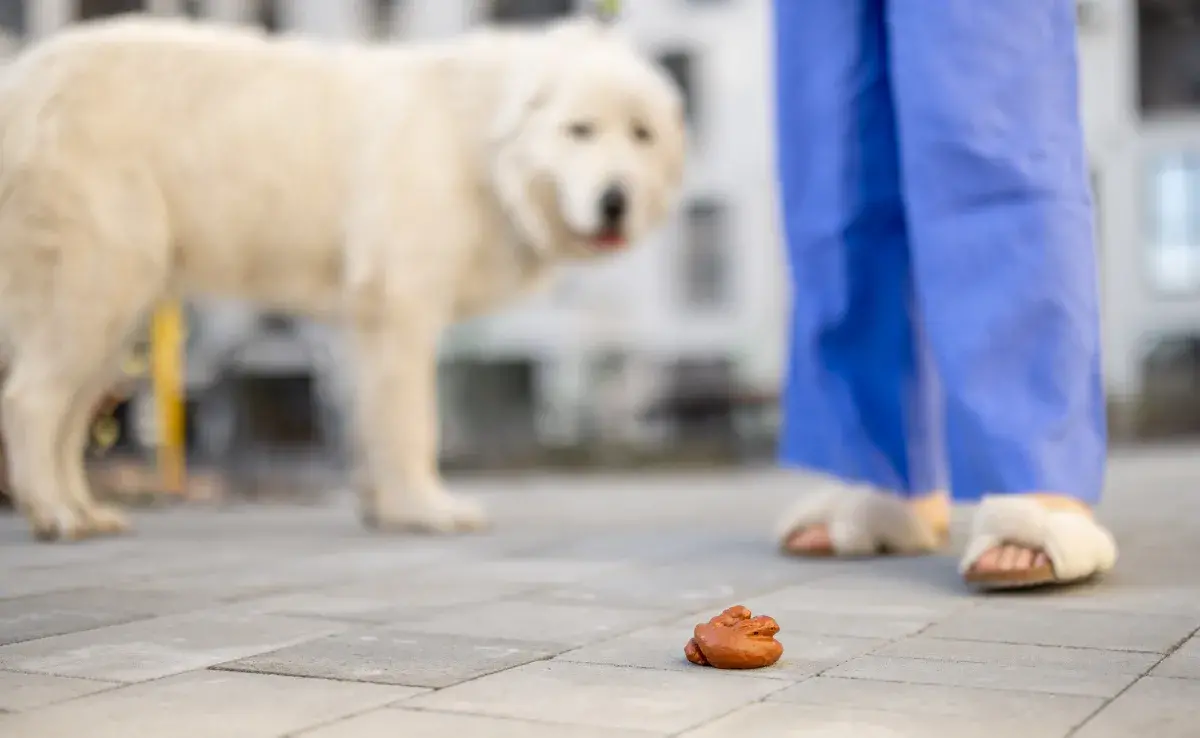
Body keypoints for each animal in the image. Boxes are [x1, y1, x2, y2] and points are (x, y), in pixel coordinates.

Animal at [0, 14, 686, 540]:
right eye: (580, 130)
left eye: (642, 134)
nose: (616, 200)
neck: (475, 145)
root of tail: (20, 78)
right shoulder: (400, 306)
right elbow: (411, 424)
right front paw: (425, 510)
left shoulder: (365, 325)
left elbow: (370, 423)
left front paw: (385, 509)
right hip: (97, 288)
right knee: (30, 401)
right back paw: (56, 514)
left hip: (115, 315)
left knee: (67, 420)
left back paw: (82, 512)